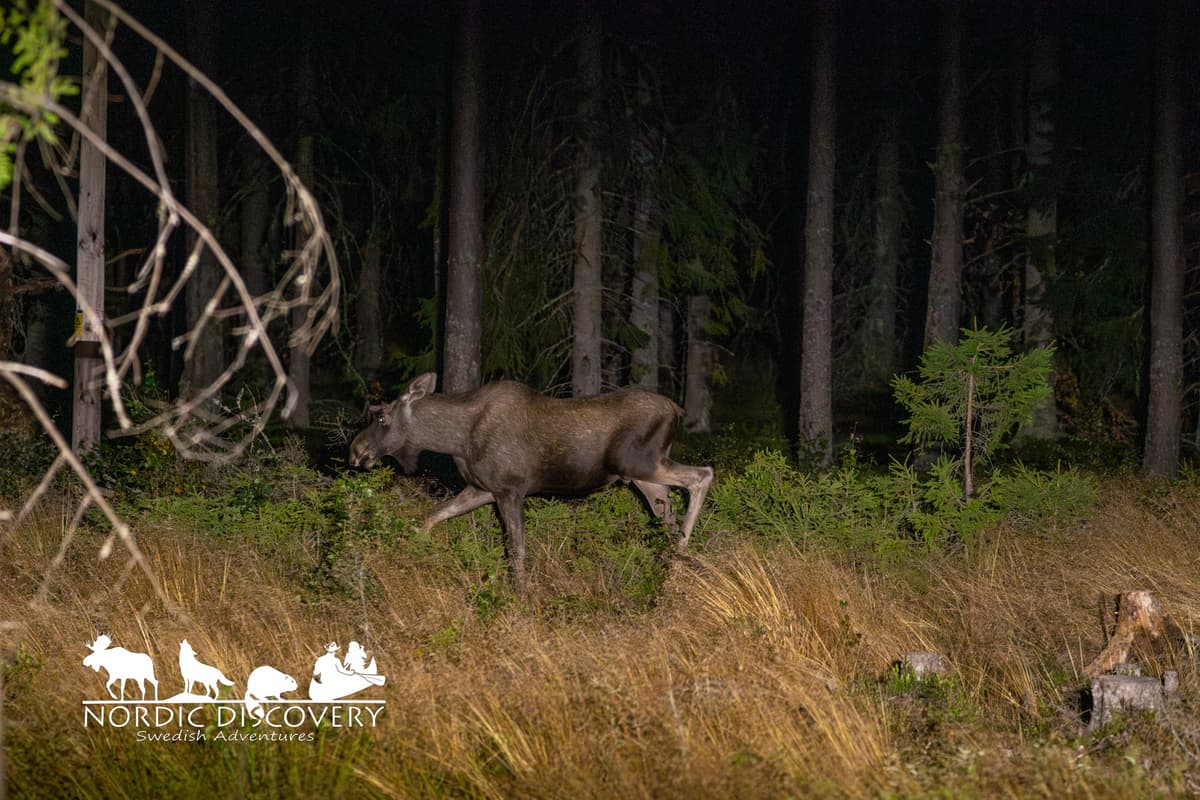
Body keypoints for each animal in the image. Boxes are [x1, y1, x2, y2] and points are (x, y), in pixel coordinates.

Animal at [348, 373, 713, 594]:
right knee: (667, 513)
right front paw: (414, 550)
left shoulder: (510, 489)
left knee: (702, 475)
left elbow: (517, 550)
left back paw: (680, 559)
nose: (355, 451)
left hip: (640, 462)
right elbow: (432, 517)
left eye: (381, 416)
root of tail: (677, 409)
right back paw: (672, 568)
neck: (456, 440)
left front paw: (521, 596)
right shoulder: (483, 489)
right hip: (643, 477)